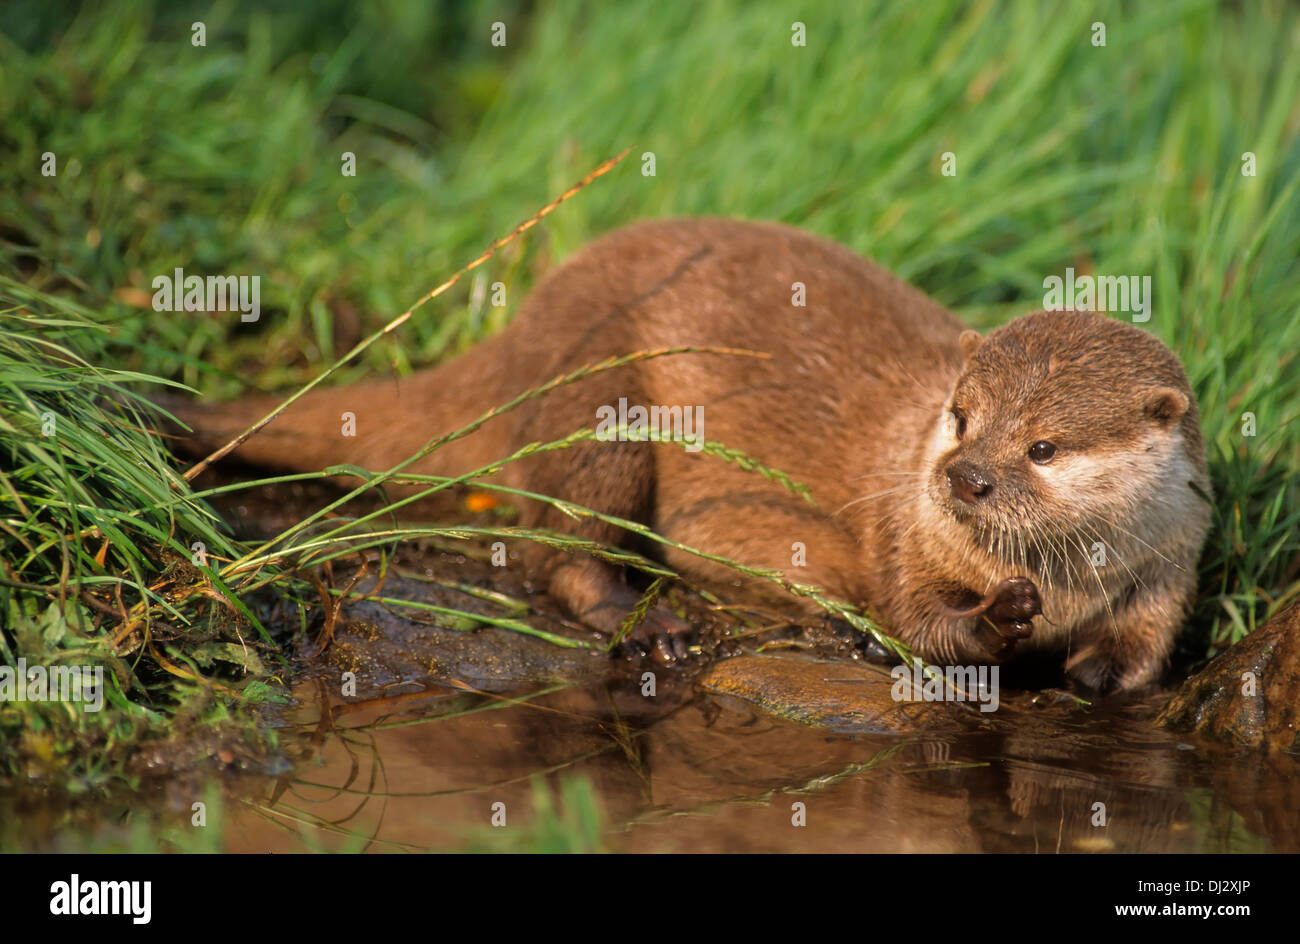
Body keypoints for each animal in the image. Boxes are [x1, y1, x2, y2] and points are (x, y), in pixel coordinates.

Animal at [167, 222, 1211, 696]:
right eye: (961, 417)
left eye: (1043, 445)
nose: (965, 476)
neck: (1070, 583)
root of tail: (527, 320)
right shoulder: (902, 534)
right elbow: (914, 621)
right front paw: (993, 620)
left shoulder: (1174, 558)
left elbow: (1145, 648)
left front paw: (1093, 675)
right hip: (605, 402)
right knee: (554, 548)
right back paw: (645, 624)